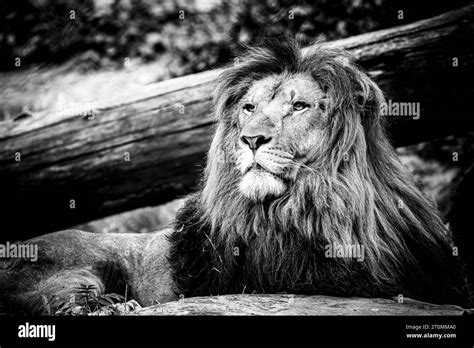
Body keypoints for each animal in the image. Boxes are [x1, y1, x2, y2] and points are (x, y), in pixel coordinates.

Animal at [0, 37, 472, 312]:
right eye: (249, 107)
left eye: (298, 106)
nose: (251, 139)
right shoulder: (287, 278)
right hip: (87, 261)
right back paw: (111, 304)